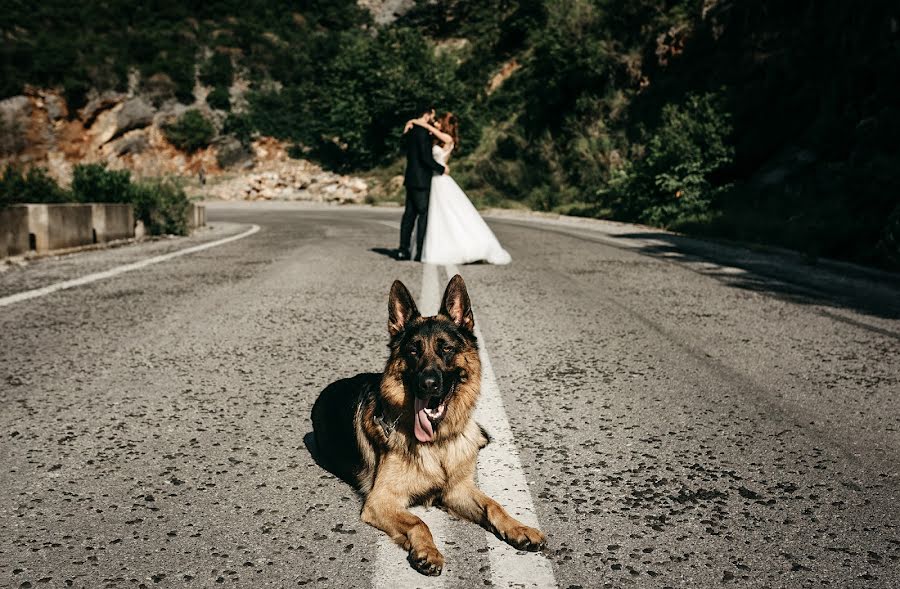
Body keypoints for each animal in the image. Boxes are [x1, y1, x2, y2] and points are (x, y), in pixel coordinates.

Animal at [312, 276, 544, 576]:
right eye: (413, 351)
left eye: (446, 349)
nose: (428, 384)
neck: (437, 443)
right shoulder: (381, 501)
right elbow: (417, 522)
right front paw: (428, 551)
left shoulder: (458, 490)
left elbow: (494, 505)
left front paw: (519, 528)